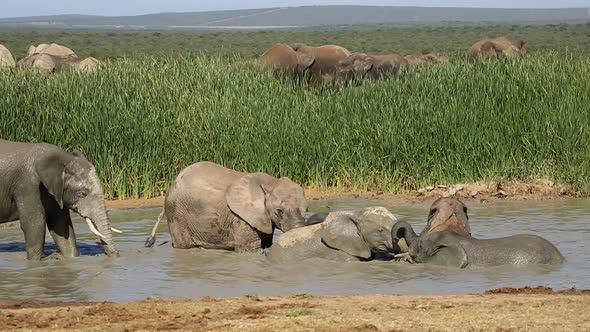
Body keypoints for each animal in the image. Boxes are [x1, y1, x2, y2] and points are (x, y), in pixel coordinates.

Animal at [162, 161, 310, 252]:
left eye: (307, 210)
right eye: (279, 211)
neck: (271, 182)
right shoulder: (241, 218)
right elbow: (250, 249)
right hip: (176, 213)